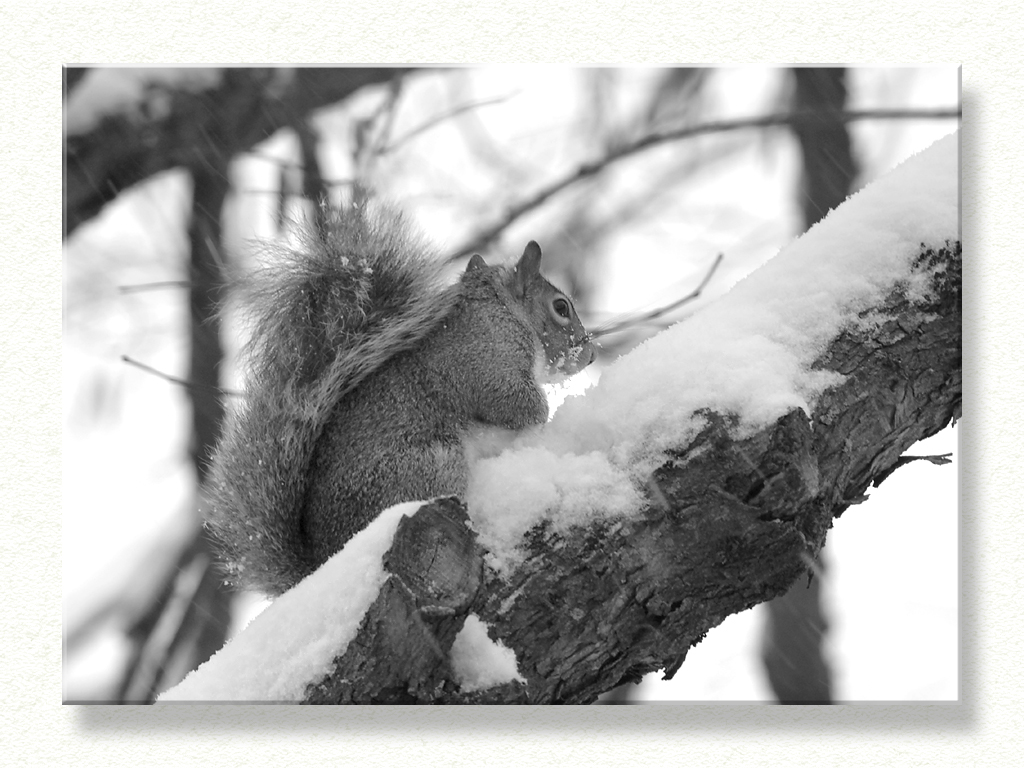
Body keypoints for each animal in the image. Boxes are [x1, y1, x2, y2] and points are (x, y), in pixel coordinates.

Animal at [204, 202, 598, 593]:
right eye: (561, 307)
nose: (591, 356)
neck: (503, 311)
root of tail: (322, 561)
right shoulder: (487, 361)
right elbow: (515, 405)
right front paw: (544, 412)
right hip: (431, 467)